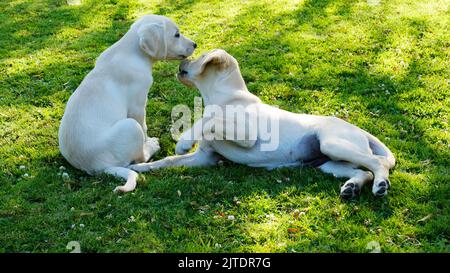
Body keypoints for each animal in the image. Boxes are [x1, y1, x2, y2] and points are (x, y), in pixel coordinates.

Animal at [57, 14, 195, 191]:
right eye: (176, 35)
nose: (195, 44)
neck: (132, 52)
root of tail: (97, 167)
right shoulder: (138, 106)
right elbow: (144, 127)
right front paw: (148, 140)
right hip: (130, 126)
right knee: (139, 158)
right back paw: (152, 146)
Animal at [129, 49, 394, 198]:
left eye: (200, 57)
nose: (180, 64)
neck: (223, 96)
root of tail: (361, 131)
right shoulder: (205, 158)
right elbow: (168, 161)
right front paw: (140, 167)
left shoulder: (247, 135)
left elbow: (210, 119)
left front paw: (184, 141)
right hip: (329, 163)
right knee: (363, 171)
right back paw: (352, 187)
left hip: (333, 145)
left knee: (378, 163)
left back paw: (380, 185)